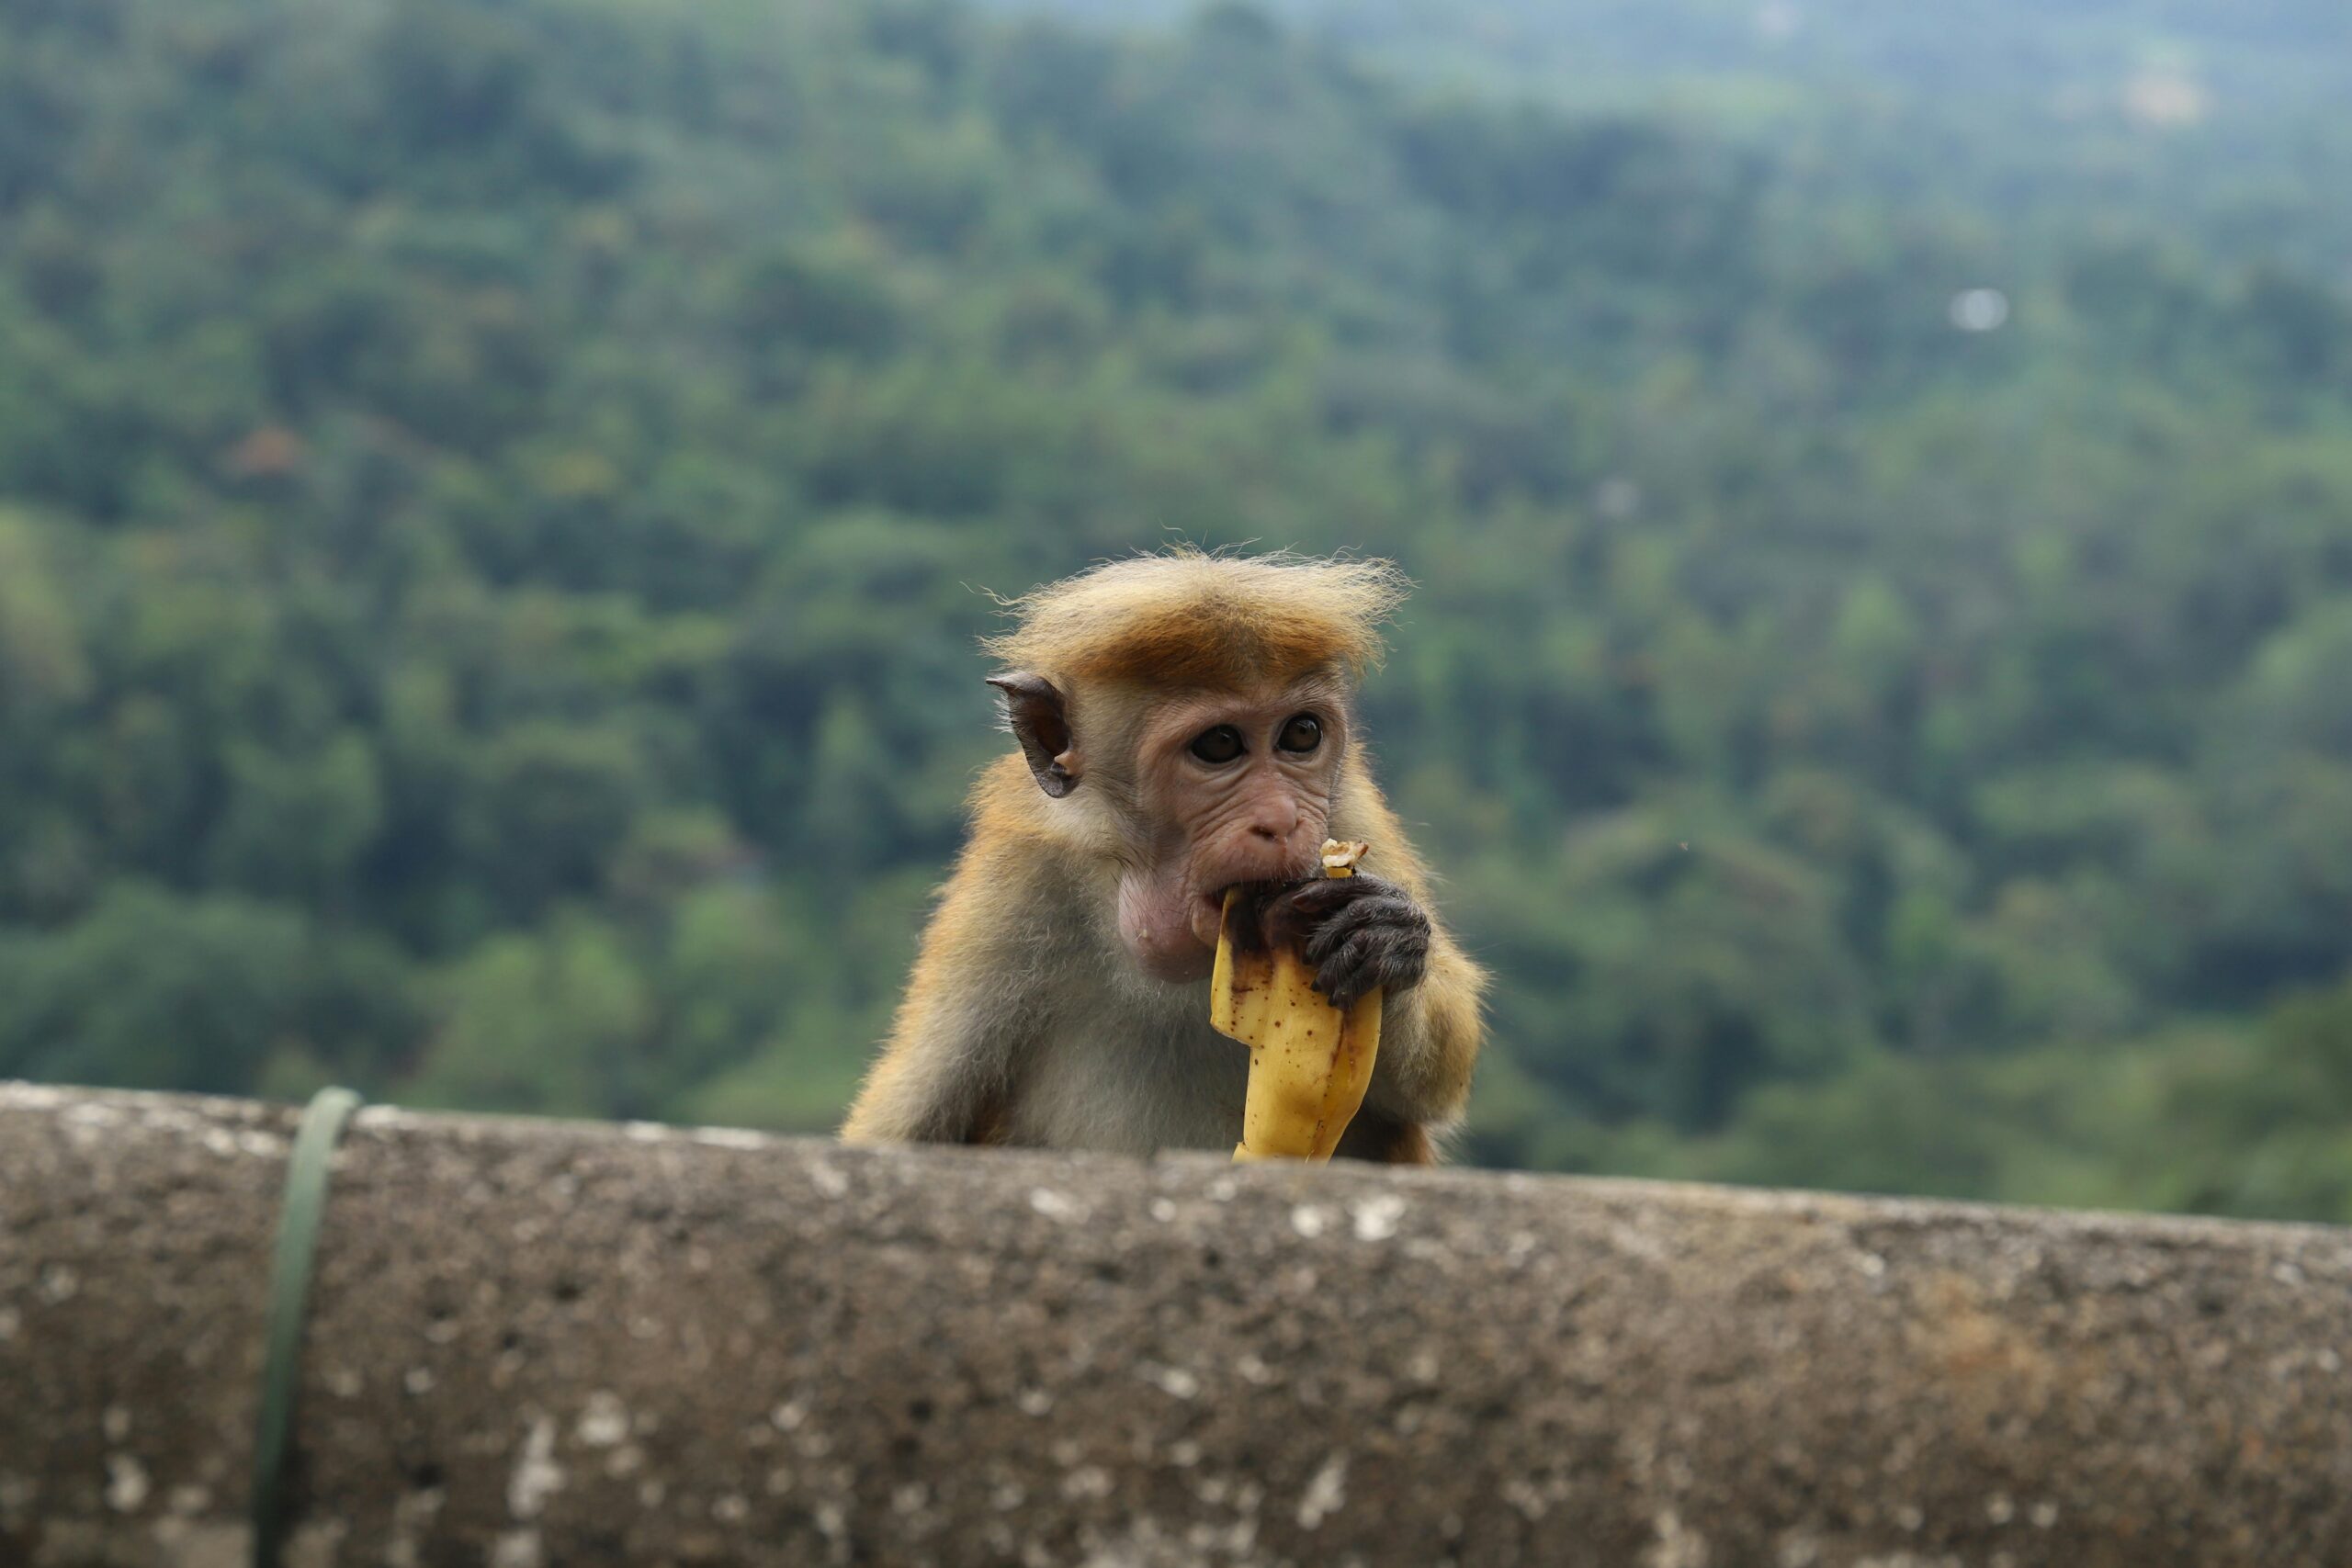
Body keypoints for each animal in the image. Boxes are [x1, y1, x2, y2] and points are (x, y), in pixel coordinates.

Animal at [839, 551, 1486, 1164]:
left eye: (1301, 735)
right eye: (1219, 745)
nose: (1283, 820)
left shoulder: (1350, 813)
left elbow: (1435, 1083)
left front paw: (1385, 937)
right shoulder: (1016, 883)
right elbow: (912, 1114)